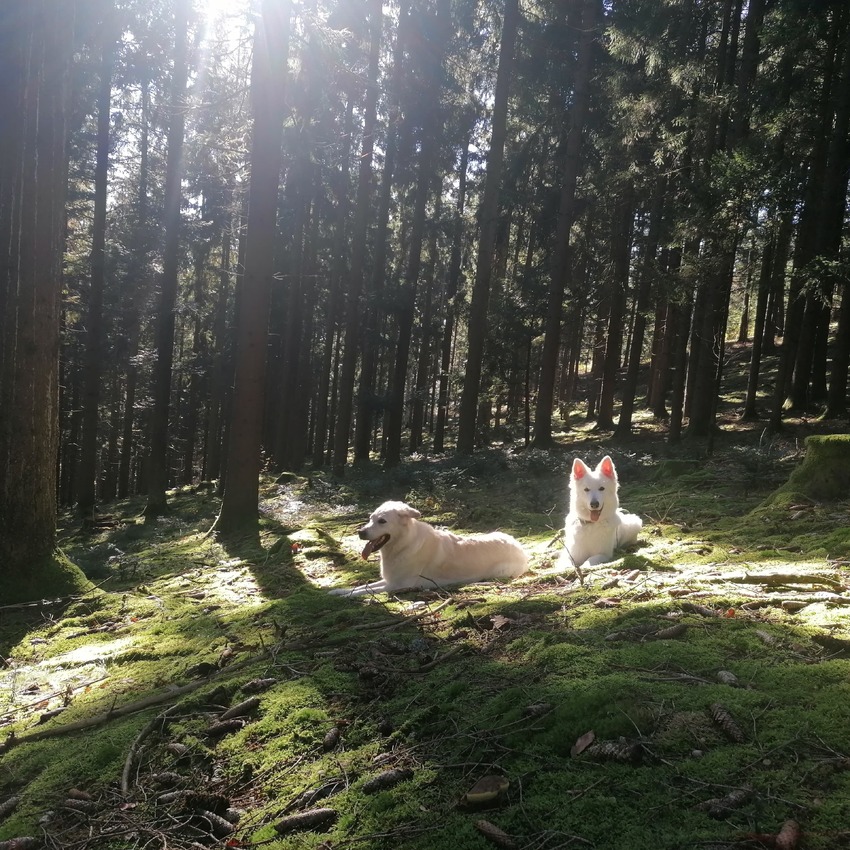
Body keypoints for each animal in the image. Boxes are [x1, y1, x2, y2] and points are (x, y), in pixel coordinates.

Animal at [328, 496, 528, 596]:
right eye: (370, 519)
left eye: (382, 521)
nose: (360, 532)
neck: (403, 544)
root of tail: (519, 546)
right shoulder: (390, 580)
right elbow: (363, 586)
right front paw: (337, 591)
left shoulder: (397, 585)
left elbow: (364, 590)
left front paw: (346, 596)